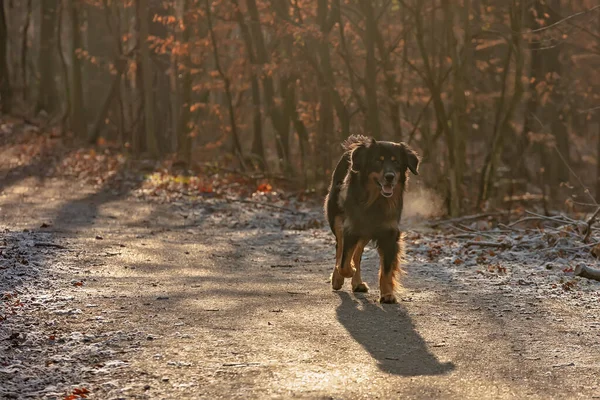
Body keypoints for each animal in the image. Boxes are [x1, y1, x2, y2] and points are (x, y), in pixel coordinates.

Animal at [326, 134, 420, 304]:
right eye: (378, 160)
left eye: (396, 161)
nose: (390, 177)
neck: (376, 201)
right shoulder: (351, 228)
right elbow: (344, 263)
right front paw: (345, 272)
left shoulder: (389, 233)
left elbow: (387, 269)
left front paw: (387, 294)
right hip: (338, 219)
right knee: (340, 249)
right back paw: (337, 278)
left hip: (366, 232)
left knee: (357, 254)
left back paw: (357, 283)